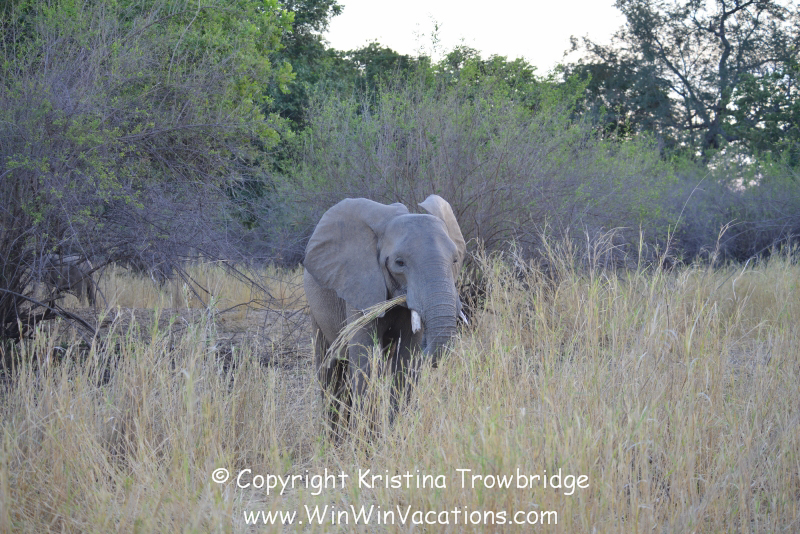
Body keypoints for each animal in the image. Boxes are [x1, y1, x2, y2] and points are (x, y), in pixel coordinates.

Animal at [303, 195, 467, 434]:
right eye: (399, 263)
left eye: (455, 260)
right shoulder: (359, 283)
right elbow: (366, 361)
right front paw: (367, 441)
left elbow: (407, 362)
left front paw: (395, 434)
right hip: (315, 307)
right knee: (329, 372)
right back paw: (330, 439)